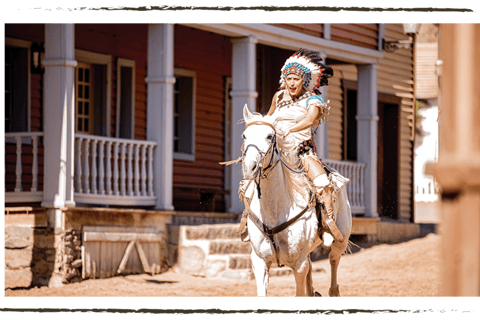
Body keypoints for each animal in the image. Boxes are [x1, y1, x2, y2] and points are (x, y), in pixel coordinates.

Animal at [242, 105, 350, 298]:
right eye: (244, 136)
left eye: (270, 136)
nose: (249, 167)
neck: (275, 210)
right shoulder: (259, 261)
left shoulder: (299, 265)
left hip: (341, 240)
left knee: (333, 260)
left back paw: (333, 290)